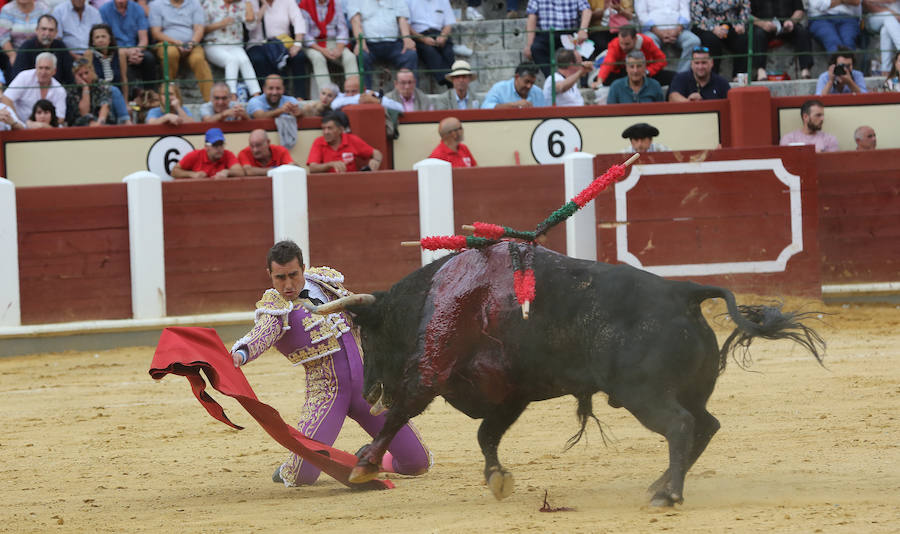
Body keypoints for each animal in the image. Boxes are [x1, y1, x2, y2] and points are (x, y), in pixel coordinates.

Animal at [308, 243, 824, 506]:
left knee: (681, 426)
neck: (435, 295)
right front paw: (497, 478)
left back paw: (668, 495)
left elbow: (402, 413)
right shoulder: (511, 394)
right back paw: (660, 485)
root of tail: (685, 292)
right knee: (705, 424)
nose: (368, 387)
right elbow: (486, 435)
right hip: (689, 391)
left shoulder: (431, 372)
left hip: (643, 394)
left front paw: (363, 464)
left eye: (368, 334)